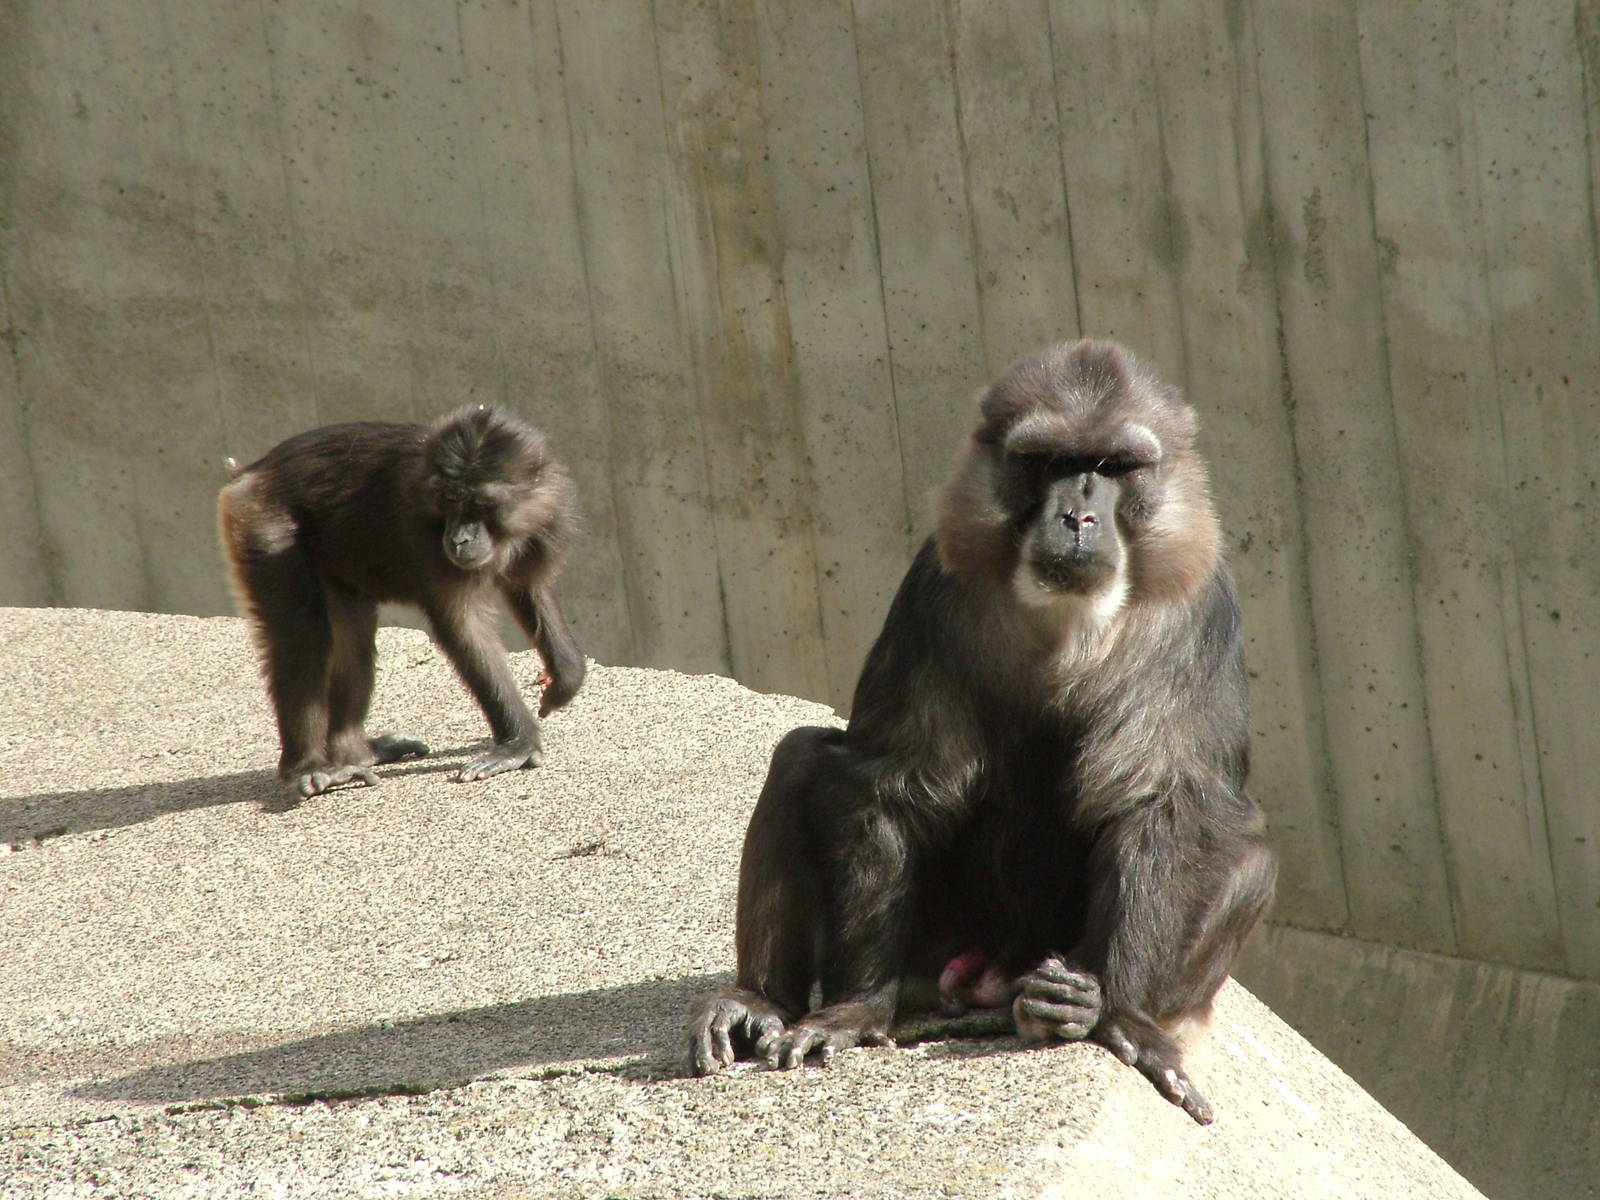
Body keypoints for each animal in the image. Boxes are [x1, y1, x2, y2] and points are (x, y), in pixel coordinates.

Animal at [218, 405, 585, 798]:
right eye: (449, 500)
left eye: (480, 503)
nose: (458, 539)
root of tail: (252, 472)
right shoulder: (424, 538)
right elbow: (464, 629)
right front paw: (518, 744)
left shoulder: (546, 521)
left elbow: (528, 588)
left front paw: (565, 678)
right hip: (260, 522)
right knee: (303, 634)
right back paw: (310, 768)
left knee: (353, 636)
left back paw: (354, 753)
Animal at [688, 339, 1275, 1124]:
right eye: (1047, 461)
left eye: (1114, 465)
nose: (1077, 516)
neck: (1065, 623)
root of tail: (994, 972)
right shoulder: (935, 592)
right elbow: (892, 779)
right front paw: (855, 1009)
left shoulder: (1198, 611)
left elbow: (1165, 802)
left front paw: (1121, 1016)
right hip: (937, 947)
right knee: (800, 759)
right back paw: (760, 1001)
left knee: (1248, 851)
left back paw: (1058, 1008)